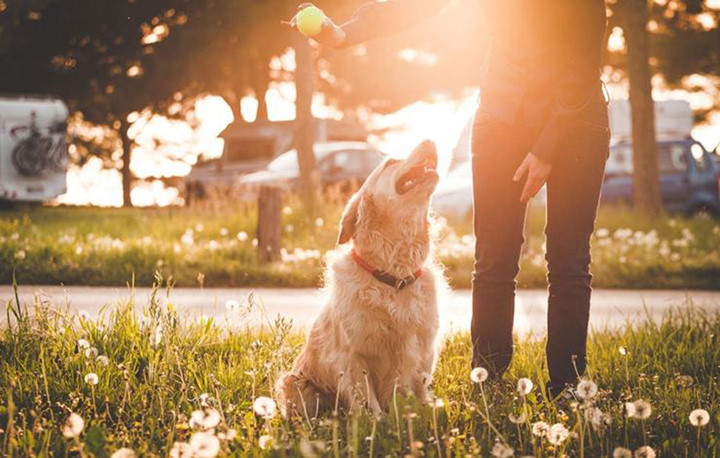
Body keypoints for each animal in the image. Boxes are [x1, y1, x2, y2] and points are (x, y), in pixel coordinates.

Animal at [276, 140, 444, 418]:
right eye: (390, 163)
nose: (430, 141)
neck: (394, 276)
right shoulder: (353, 355)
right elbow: (366, 398)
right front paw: (376, 422)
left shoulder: (422, 347)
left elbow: (421, 387)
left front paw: (427, 412)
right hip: (296, 382)